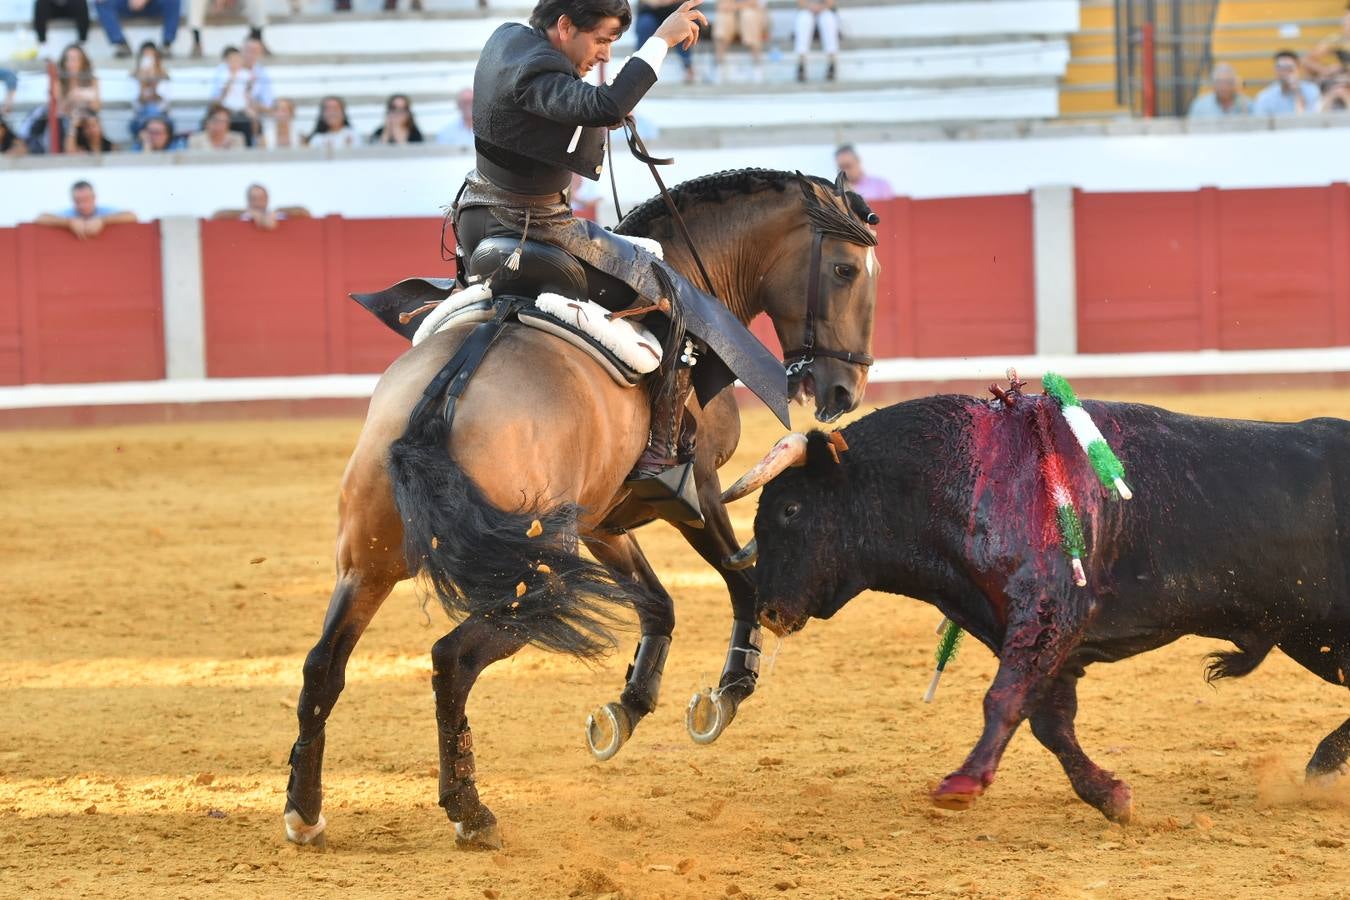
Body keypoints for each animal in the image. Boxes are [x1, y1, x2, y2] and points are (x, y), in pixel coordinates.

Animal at [279, 167, 880, 852]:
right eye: (844, 270)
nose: (844, 391)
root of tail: (442, 398)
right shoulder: (695, 491)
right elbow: (742, 580)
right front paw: (727, 693)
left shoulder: (603, 519)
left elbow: (659, 602)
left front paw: (628, 707)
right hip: (534, 573)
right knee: (452, 659)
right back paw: (470, 811)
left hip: (371, 562)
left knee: (324, 665)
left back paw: (305, 810)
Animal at [723, 394, 1350, 825]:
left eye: (790, 509)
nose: (768, 610)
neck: (962, 476)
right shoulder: (1043, 636)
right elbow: (1049, 722)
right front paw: (1111, 796)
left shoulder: (1047, 613)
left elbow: (1004, 699)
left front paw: (962, 785)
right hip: (1310, 637)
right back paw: (1322, 768)